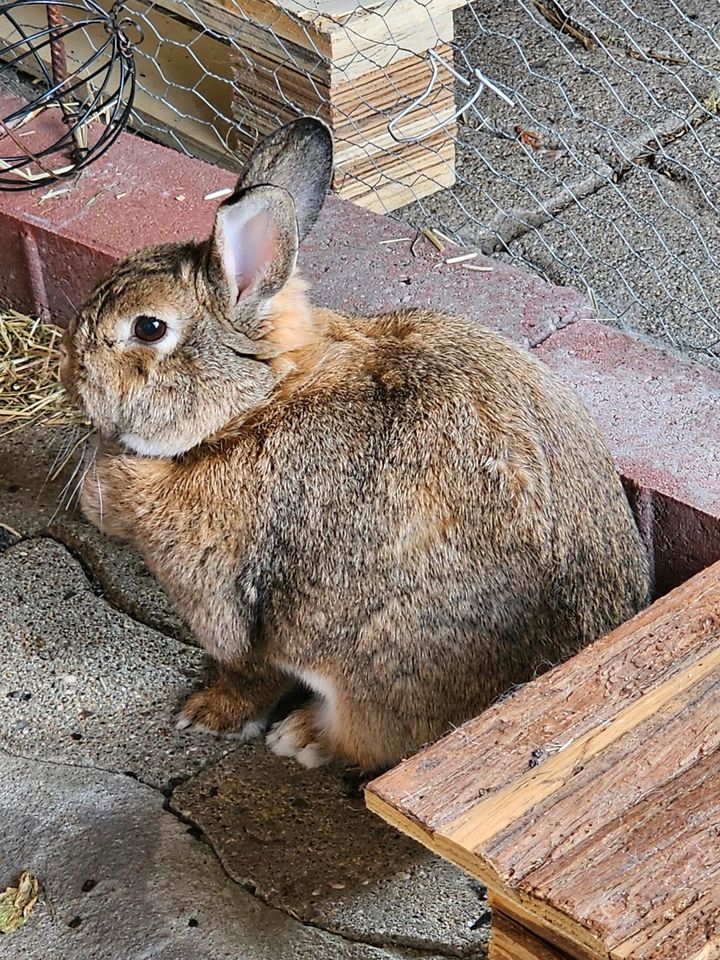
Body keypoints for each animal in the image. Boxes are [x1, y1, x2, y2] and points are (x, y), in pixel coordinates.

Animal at [59, 116, 648, 772]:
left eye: (149, 328)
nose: (70, 373)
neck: (252, 406)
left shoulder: (232, 606)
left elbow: (248, 676)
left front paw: (207, 715)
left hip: (372, 667)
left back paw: (300, 736)